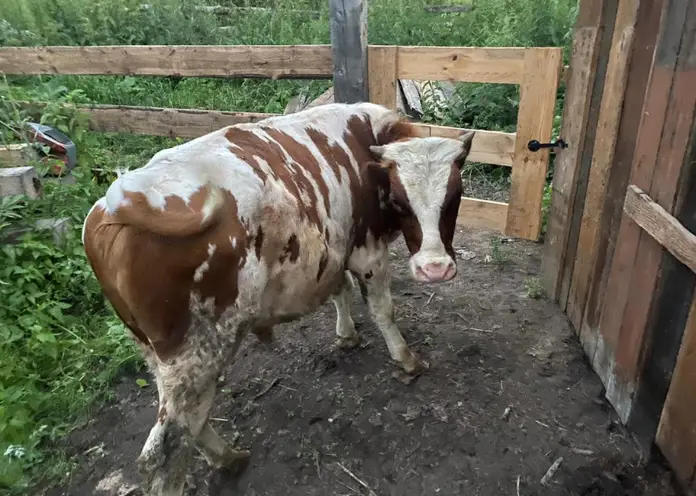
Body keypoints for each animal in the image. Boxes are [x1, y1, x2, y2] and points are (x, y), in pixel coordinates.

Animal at [80, 101, 474, 496]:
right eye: (398, 200)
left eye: (455, 197)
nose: (435, 269)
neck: (366, 141)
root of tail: (115, 207)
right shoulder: (368, 252)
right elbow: (383, 310)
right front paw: (406, 359)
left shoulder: (334, 245)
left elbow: (339, 289)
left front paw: (346, 333)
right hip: (195, 355)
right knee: (163, 450)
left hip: (158, 355)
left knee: (190, 421)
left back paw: (229, 458)